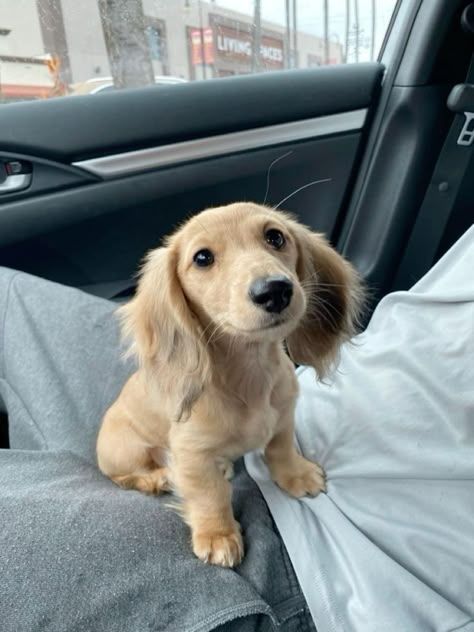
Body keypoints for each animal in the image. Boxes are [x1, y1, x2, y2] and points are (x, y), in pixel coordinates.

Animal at [97, 202, 363, 567]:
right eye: (202, 258)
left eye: (275, 236)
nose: (274, 290)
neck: (251, 375)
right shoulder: (192, 453)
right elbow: (210, 495)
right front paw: (218, 535)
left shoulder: (283, 418)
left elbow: (280, 450)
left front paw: (295, 475)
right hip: (124, 450)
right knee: (125, 476)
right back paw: (159, 477)